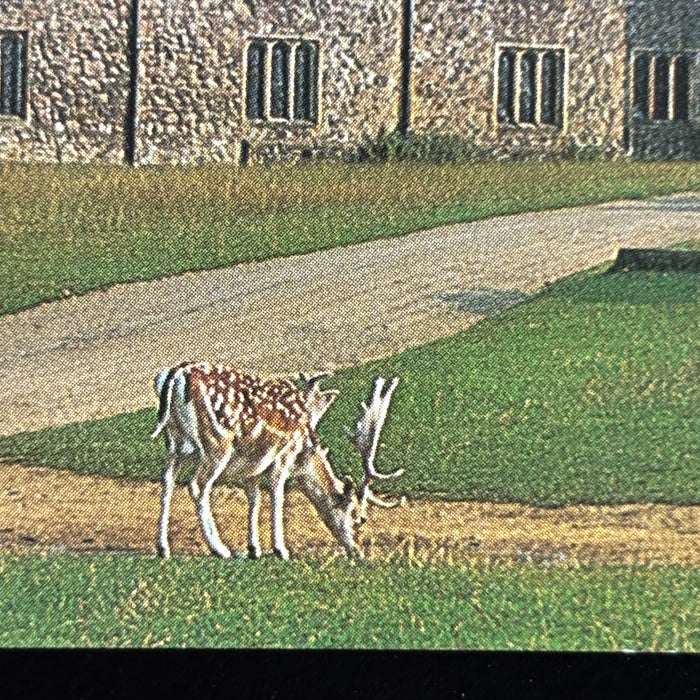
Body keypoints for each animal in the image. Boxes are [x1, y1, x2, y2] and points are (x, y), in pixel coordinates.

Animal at [151, 361, 404, 560]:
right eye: (360, 519)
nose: (359, 552)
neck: (304, 453)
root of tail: (176, 375)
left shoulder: (251, 464)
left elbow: (254, 498)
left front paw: (254, 549)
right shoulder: (284, 455)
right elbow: (277, 494)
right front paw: (280, 550)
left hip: (175, 443)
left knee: (167, 481)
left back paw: (163, 548)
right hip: (217, 441)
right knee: (198, 485)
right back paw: (219, 549)